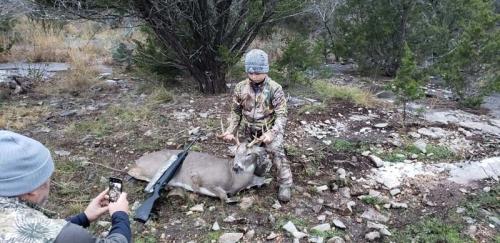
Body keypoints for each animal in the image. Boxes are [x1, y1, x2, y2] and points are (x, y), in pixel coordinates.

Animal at [127, 131, 272, 201]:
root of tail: (137, 161)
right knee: (133, 173)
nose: (236, 166)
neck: (234, 180)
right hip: (153, 167)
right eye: (235, 153)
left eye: (249, 154)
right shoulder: (208, 180)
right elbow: (223, 196)